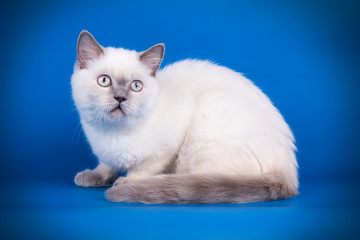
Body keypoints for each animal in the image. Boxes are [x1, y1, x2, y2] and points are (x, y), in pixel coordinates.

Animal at [70, 29, 298, 203]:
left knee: (203, 179)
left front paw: (126, 182)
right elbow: (106, 166)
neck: (113, 133)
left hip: (209, 115)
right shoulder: (105, 155)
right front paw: (93, 177)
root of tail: (288, 173)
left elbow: (143, 168)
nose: (120, 98)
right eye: (104, 81)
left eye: (135, 86)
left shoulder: (166, 149)